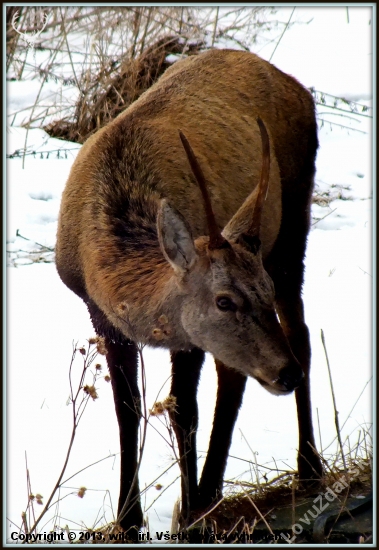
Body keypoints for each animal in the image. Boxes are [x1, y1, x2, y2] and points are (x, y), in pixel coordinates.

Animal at [55, 47, 324, 540]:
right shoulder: (99, 314)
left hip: (294, 215)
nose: (286, 374)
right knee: (236, 371)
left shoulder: (188, 337)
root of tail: (296, 84)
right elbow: (128, 409)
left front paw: (190, 512)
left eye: (259, 290)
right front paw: (128, 519)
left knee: (299, 334)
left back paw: (306, 466)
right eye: (224, 300)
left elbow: (184, 411)